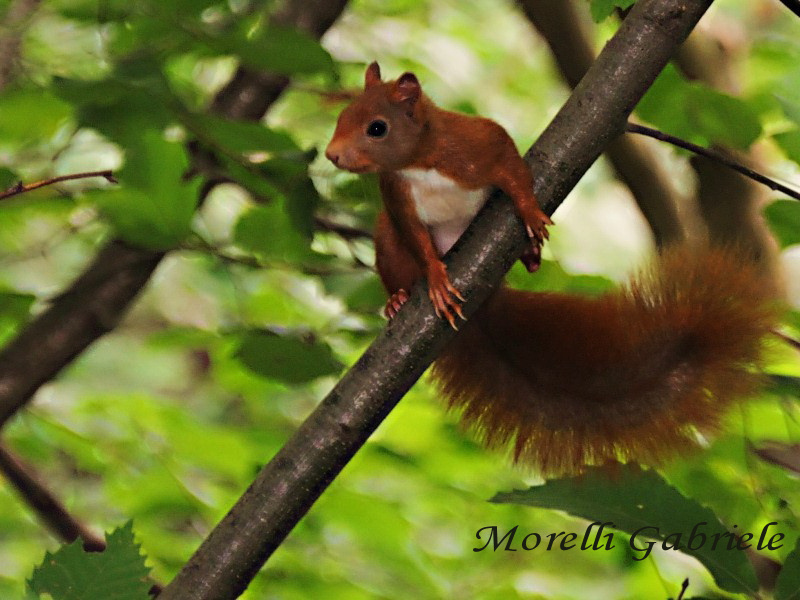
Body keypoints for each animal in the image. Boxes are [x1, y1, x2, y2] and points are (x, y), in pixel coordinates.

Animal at [324, 63, 780, 476]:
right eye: (341, 117)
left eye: (377, 128)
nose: (332, 155)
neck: (420, 163)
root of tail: (489, 296)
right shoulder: (398, 199)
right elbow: (418, 242)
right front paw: (436, 279)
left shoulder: (477, 143)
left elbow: (511, 168)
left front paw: (529, 213)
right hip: (386, 236)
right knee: (395, 252)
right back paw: (399, 299)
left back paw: (530, 253)